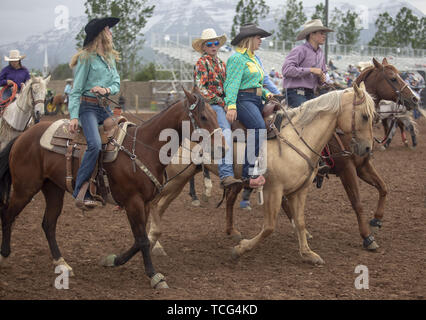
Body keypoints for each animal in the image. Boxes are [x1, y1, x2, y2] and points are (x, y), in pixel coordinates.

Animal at [0, 88, 225, 290]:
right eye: (203, 116)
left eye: (216, 115)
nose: (223, 148)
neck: (143, 147)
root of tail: (23, 137)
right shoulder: (133, 202)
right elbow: (143, 240)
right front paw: (154, 276)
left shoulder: (144, 203)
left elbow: (139, 240)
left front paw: (113, 260)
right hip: (25, 188)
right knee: (8, 215)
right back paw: (4, 254)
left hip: (53, 189)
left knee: (48, 224)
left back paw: (62, 263)